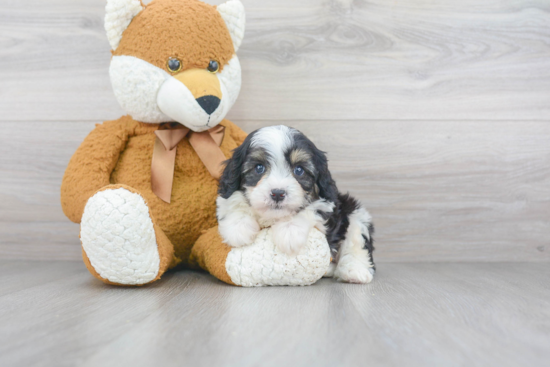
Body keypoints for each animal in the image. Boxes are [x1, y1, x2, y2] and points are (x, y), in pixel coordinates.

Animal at [218, 126, 378, 284]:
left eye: (299, 170)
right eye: (259, 168)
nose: (278, 193)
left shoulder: (327, 205)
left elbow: (311, 209)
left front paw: (289, 230)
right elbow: (233, 201)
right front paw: (238, 227)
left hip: (355, 212)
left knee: (357, 241)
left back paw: (355, 271)